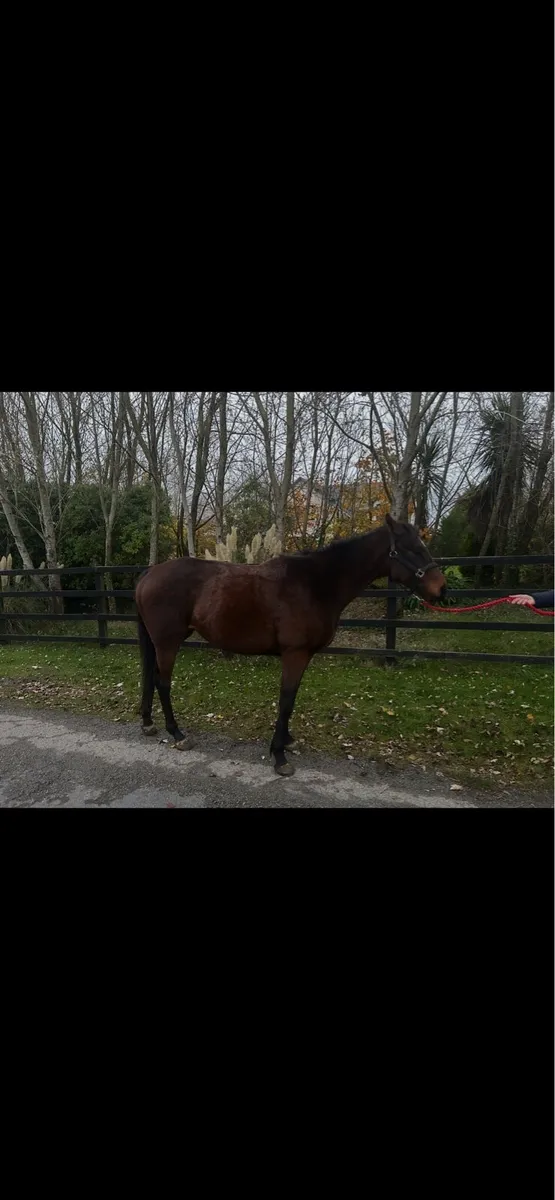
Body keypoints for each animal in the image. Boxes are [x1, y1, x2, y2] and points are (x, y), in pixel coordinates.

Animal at [135, 514, 447, 776]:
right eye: (412, 549)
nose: (442, 589)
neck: (316, 585)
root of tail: (149, 574)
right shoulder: (294, 654)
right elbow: (285, 700)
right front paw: (279, 756)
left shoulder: (303, 656)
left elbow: (292, 699)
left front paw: (287, 741)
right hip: (168, 642)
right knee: (163, 683)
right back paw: (177, 734)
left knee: (150, 677)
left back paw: (149, 723)